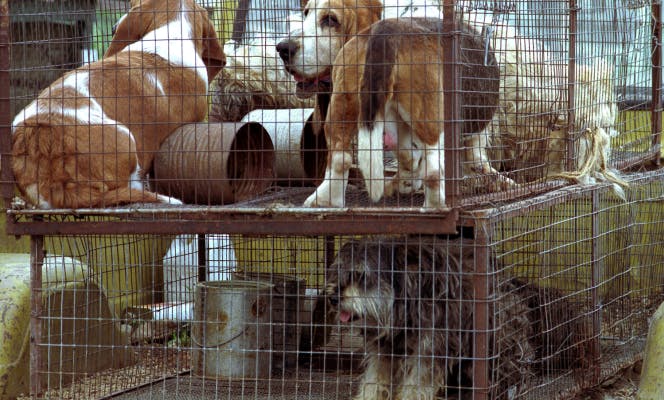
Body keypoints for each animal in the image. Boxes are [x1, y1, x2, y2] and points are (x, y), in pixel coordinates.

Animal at [300, 17, 498, 208]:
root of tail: (386, 30)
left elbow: (409, 157)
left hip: (341, 103)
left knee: (340, 158)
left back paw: (324, 201)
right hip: (430, 116)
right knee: (433, 171)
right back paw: (435, 204)